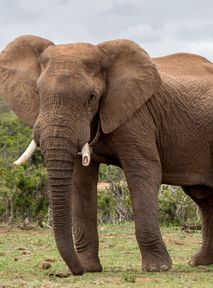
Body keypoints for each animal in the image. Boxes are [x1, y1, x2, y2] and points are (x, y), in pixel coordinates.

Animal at [0, 35, 212, 276]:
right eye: (38, 94)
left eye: (91, 97)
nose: (75, 271)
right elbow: (81, 181)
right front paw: (89, 268)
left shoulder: (137, 115)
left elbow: (143, 172)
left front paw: (158, 268)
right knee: (203, 196)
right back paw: (200, 262)